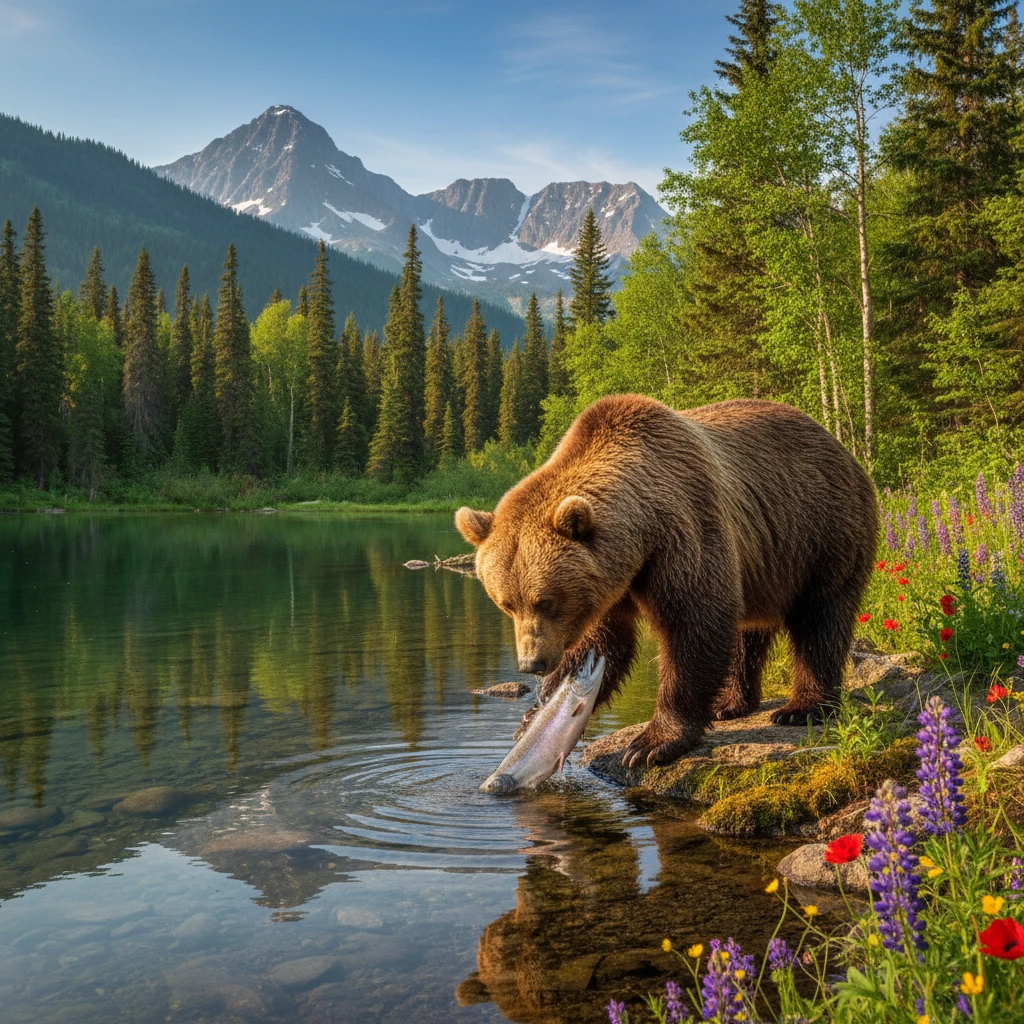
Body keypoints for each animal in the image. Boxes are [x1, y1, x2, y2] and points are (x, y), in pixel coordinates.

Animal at [454, 394, 878, 768]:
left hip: (822, 531)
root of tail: (841, 447)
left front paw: (651, 743)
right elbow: (604, 644)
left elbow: (694, 625)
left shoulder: (684, 532)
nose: (532, 663)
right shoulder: (610, 586)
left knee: (820, 619)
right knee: (748, 629)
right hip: (763, 564)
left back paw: (802, 707)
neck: (639, 541)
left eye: (546, 600)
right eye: (506, 603)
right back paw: (728, 703)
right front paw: (533, 719)